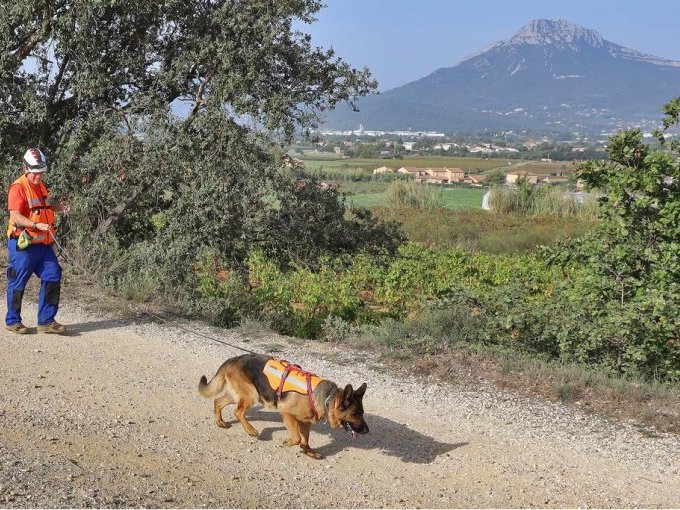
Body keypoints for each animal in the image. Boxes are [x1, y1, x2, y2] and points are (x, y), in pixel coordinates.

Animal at [198, 354, 366, 458]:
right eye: (355, 414)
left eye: (362, 413)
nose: (367, 431)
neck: (327, 397)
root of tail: (233, 359)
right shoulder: (287, 414)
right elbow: (297, 438)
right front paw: (289, 442)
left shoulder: (305, 422)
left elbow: (305, 439)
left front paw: (308, 452)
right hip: (251, 394)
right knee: (238, 412)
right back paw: (251, 430)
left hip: (239, 395)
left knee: (217, 401)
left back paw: (219, 422)